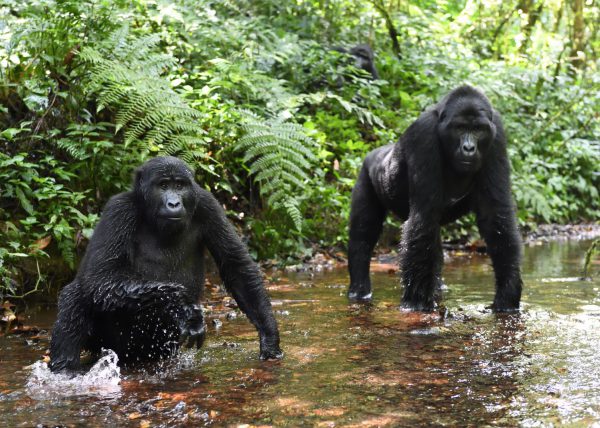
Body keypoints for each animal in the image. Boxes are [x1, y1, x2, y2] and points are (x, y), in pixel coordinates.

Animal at [48, 156, 282, 372]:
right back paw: (65, 368)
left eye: (179, 185)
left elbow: (236, 266)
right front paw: (180, 305)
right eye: (162, 186)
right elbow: (100, 277)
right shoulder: (118, 210)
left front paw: (269, 337)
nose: (174, 203)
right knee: (77, 293)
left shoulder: (208, 205)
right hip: (106, 345)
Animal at [350, 84, 524, 310]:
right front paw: (416, 302)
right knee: (363, 233)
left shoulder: (497, 136)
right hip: (367, 172)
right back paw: (359, 290)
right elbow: (423, 219)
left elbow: (495, 214)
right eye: (459, 128)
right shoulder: (424, 135)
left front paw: (507, 294)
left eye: (478, 130)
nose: (469, 148)